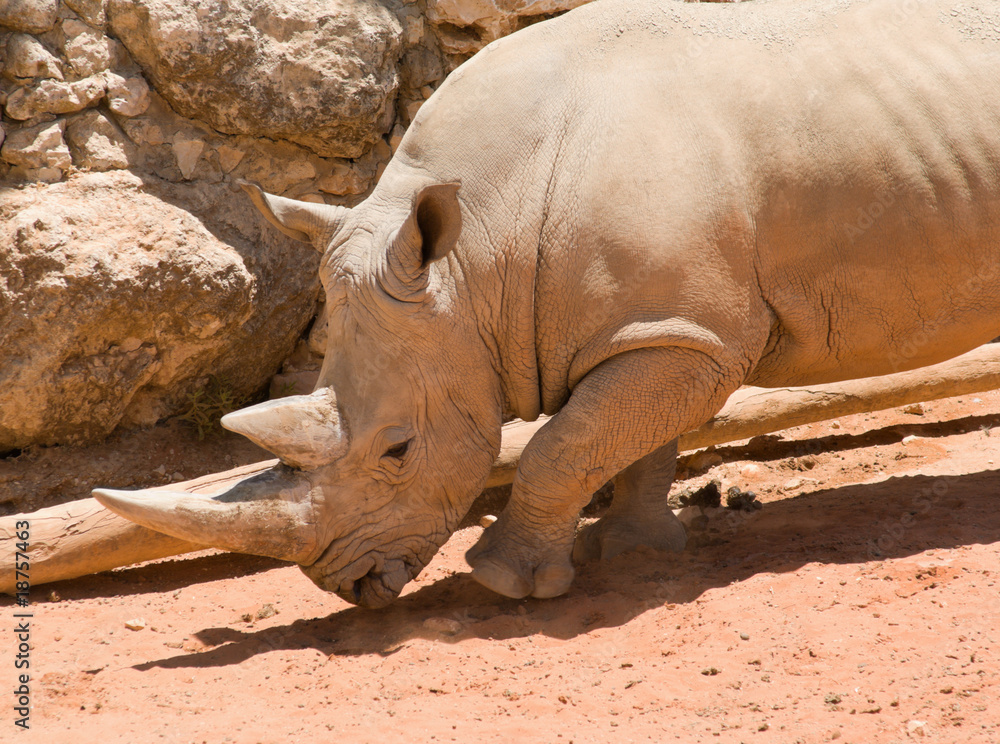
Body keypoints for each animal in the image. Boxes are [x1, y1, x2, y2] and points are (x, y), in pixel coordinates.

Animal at [95, 0, 1000, 607]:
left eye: (398, 450)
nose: (349, 587)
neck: (477, 254)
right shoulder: (659, 328)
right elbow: (631, 442)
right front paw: (633, 554)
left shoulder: (681, 336)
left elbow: (565, 445)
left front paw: (505, 582)